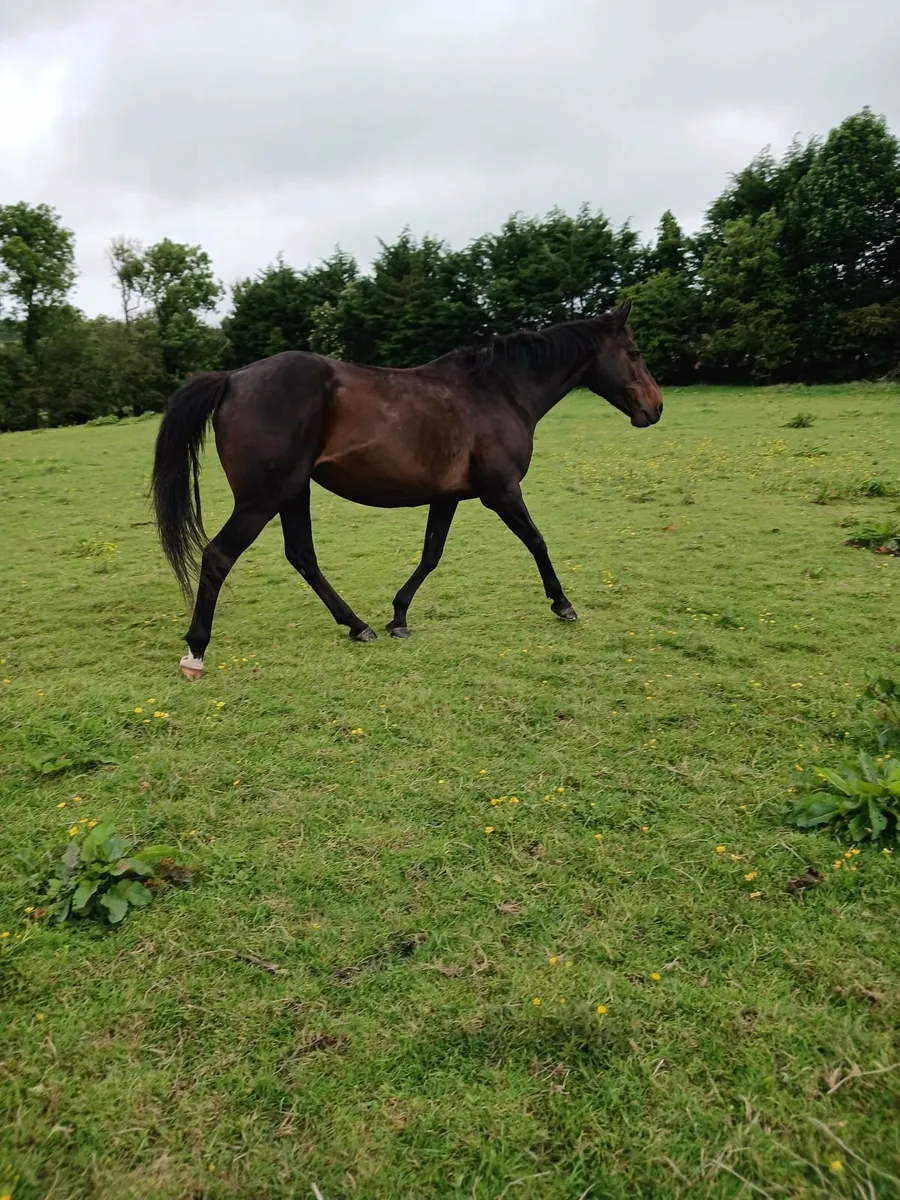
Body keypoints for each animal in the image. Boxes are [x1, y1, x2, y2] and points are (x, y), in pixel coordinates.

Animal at [151, 299, 663, 680]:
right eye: (635, 352)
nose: (655, 408)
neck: (497, 392)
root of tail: (233, 379)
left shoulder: (447, 496)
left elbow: (431, 554)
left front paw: (398, 618)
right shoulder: (502, 492)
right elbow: (536, 540)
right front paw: (562, 603)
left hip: (293, 493)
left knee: (302, 556)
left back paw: (357, 626)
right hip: (262, 500)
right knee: (220, 555)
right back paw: (196, 652)